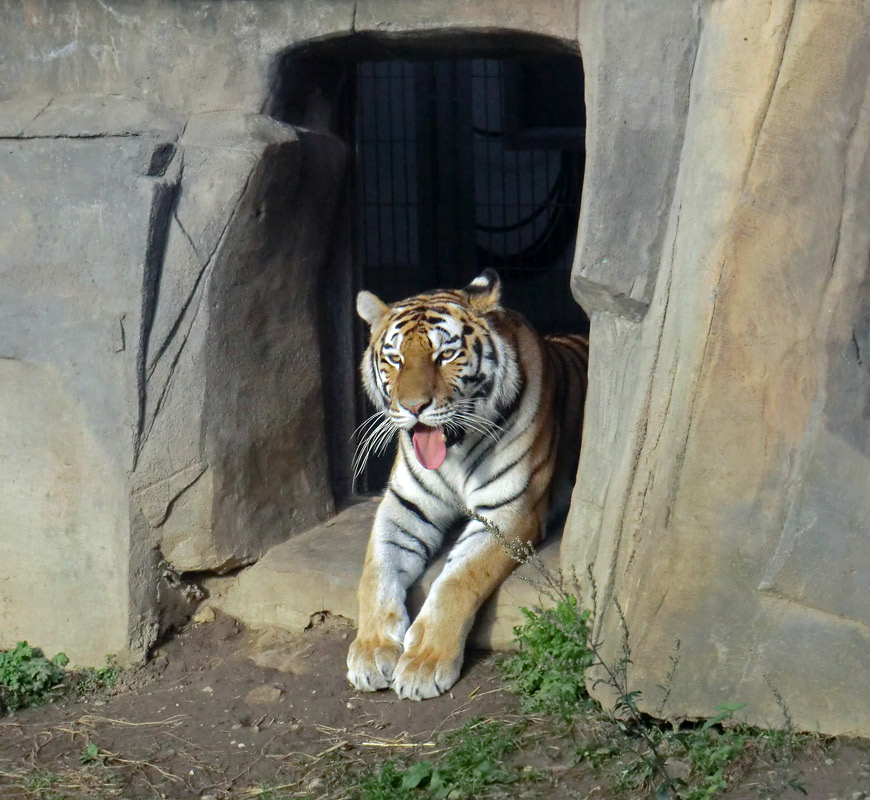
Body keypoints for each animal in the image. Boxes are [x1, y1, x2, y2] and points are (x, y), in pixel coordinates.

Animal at [346, 268, 584, 700]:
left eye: (445, 355)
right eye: (395, 358)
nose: (414, 407)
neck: (455, 454)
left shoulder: (508, 514)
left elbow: (459, 578)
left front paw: (424, 663)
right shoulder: (402, 507)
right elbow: (376, 571)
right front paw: (372, 651)